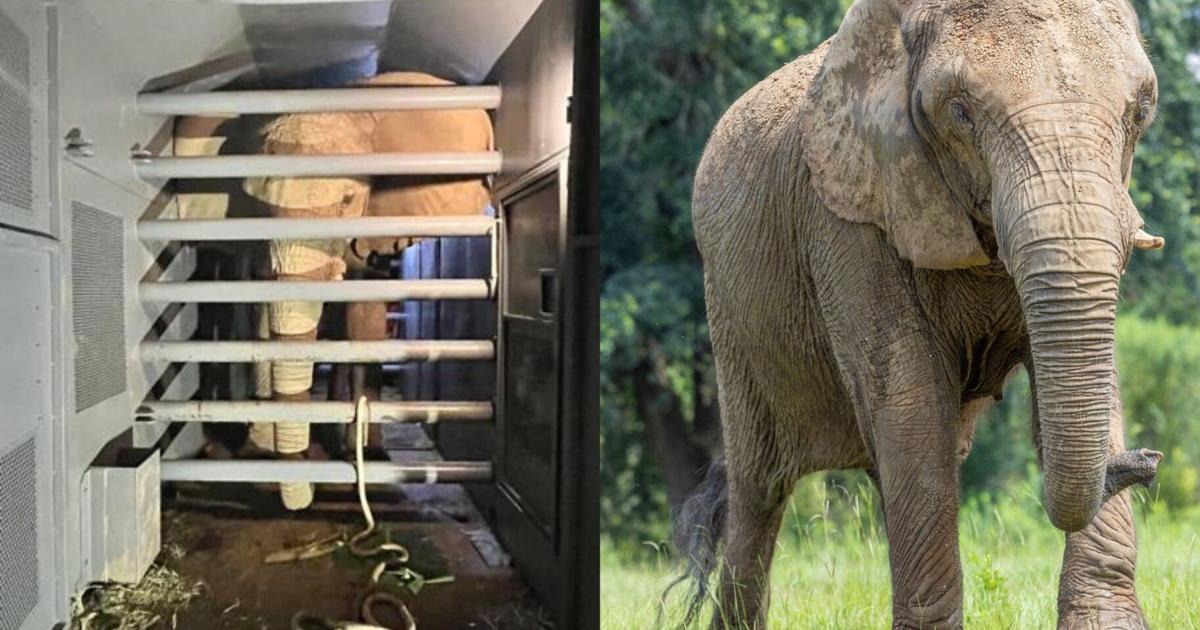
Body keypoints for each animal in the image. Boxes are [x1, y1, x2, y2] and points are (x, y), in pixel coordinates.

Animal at [173, 72, 494, 510]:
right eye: (257, 206)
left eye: (347, 200)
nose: (301, 493)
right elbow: (262, 319)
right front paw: (261, 456)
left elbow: (365, 315)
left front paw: (372, 465)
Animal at [675, 1, 1166, 628]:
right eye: (960, 112)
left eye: (1140, 112)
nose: (1146, 460)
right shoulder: (849, 215)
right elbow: (912, 403)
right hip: (730, 315)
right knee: (759, 489)